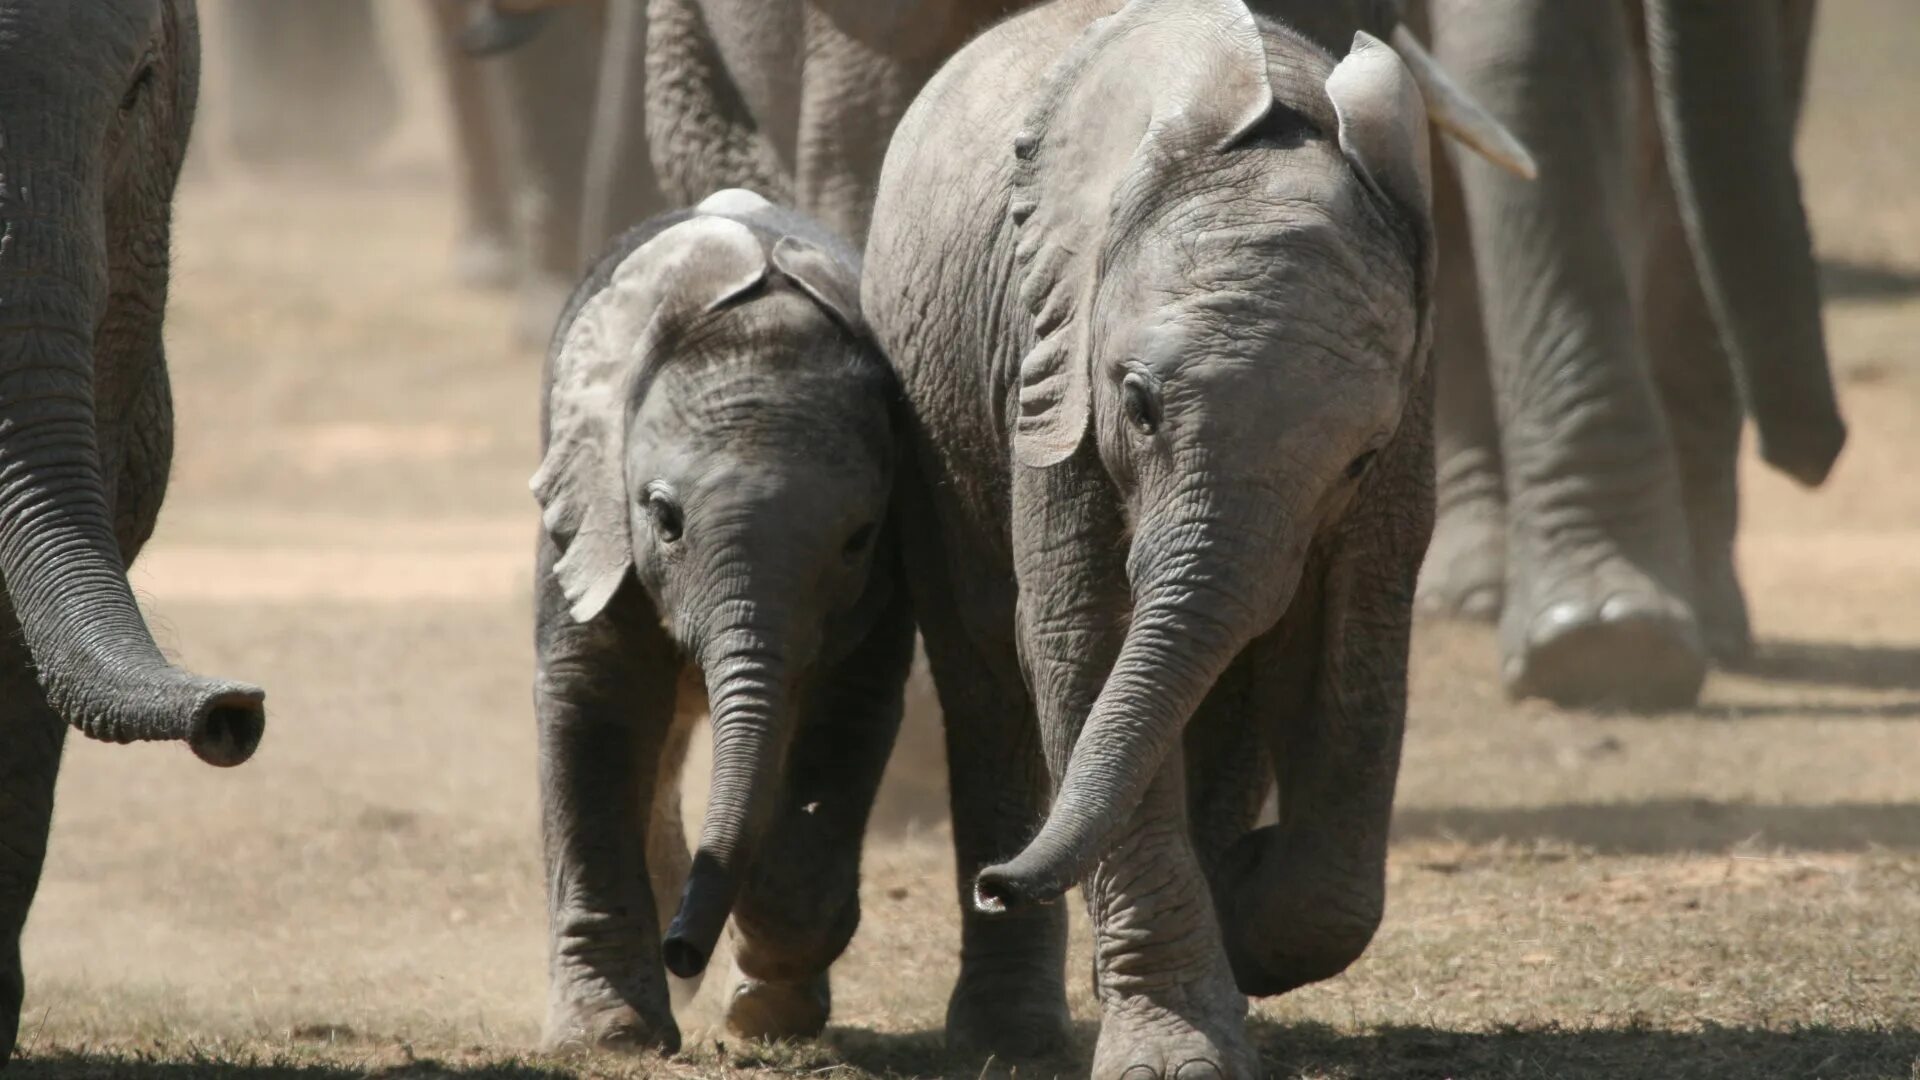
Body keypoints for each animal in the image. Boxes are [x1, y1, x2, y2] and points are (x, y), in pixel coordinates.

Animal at [529, 189, 910, 1045]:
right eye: (664, 519)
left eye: (858, 538)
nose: (682, 950)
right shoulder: (593, 506)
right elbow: (591, 693)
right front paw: (613, 1036)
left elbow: (853, 707)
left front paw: (765, 1005)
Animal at [871, 4, 1443, 1068]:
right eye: (1136, 405)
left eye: (1360, 457)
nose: (999, 882)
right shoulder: (1048, 359)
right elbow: (1081, 643)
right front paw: (1175, 1056)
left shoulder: (1413, 411)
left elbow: (1350, 649)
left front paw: (1247, 916)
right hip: (929, 405)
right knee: (983, 669)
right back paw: (1013, 1034)